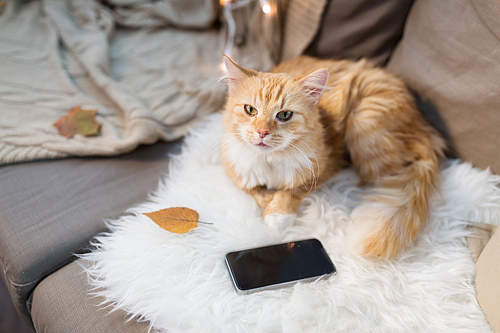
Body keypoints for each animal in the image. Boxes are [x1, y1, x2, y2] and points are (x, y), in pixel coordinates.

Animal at [221, 55, 444, 256]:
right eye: (250, 110)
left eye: (284, 115)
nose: (262, 132)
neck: (270, 161)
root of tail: (426, 130)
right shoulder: (236, 170)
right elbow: (253, 190)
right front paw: (268, 200)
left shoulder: (324, 166)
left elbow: (291, 191)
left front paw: (277, 214)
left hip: (364, 123)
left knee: (378, 175)